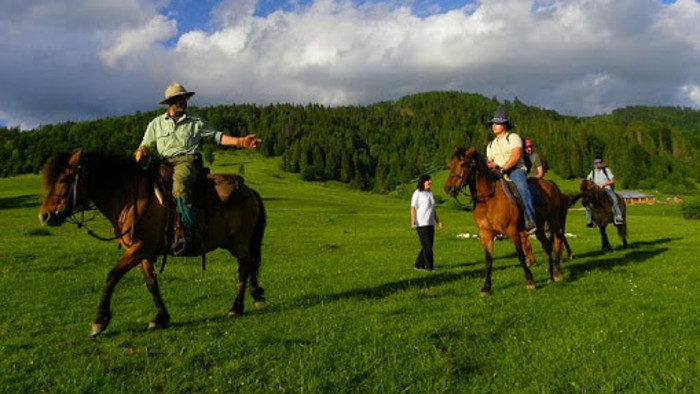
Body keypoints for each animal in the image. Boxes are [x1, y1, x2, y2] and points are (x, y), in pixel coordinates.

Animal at [39, 151, 268, 336]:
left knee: (244, 268)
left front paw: (100, 321)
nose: (45, 216)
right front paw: (160, 318)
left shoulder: (139, 248)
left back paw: (236, 307)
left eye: (64, 179)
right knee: (249, 265)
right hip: (236, 244)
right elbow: (151, 283)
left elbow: (112, 276)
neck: (130, 199)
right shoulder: (142, 252)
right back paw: (256, 296)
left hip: (240, 242)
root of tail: (249, 191)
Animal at [446, 148, 572, 296]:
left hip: (554, 222)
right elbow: (488, 260)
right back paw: (551, 276)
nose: (448, 189)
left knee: (558, 242)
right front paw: (486, 288)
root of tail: (551, 184)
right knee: (547, 246)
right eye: (450, 165)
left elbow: (520, 255)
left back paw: (557, 273)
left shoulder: (512, 230)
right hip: (540, 227)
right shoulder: (486, 234)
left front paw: (530, 282)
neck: (488, 199)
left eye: (463, 164)